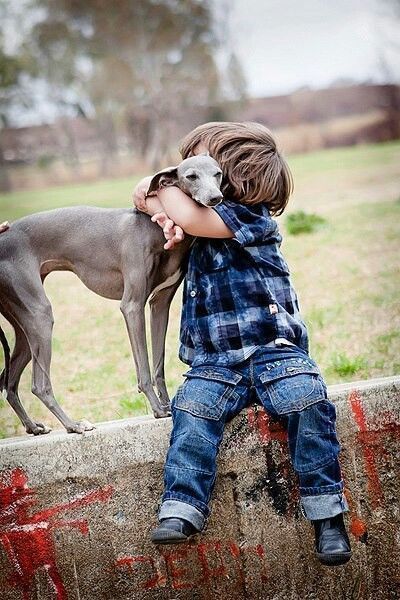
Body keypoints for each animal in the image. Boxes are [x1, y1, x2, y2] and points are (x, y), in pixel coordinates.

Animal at [0, 155, 225, 436]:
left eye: (218, 173)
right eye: (191, 176)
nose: (215, 198)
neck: (153, 229)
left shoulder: (159, 304)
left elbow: (158, 364)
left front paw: (166, 404)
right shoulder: (132, 306)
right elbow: (144, 367)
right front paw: (157, 408)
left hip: (24, 328)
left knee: (8, 382)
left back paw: (33, 426)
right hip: (40, 317)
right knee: (39, 385)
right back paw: (73, 425)